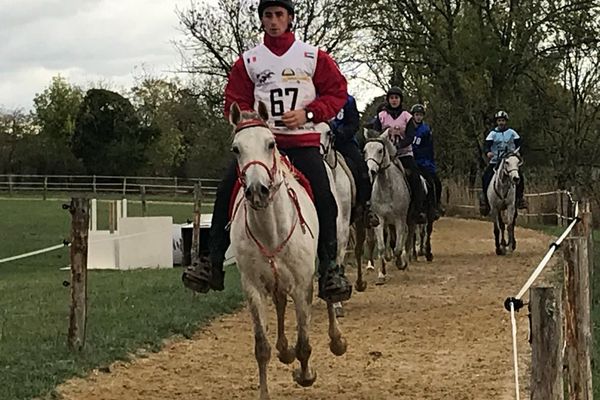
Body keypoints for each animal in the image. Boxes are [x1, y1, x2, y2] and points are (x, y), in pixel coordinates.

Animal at [229, 103, 346, 400]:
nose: (257, 190)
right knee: (280, 304)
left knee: (329, 293)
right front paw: (266, 391)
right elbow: (262, 348)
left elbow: (304, 341)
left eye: (270, 143)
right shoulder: (253, 288)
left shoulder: (303, 285)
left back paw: (337, 340)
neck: (271, 231)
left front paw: (305, 375)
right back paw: (284, 350)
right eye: (236, 149)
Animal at [360, 129, 412, 284]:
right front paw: (381, 274)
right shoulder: (380, 219)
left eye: (380, 150)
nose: (371, 171)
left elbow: (398, 248)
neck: (387, 189)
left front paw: (401, 263)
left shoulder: (400, 219)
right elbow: (382, 246)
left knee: (402, 237)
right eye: (365, 151)